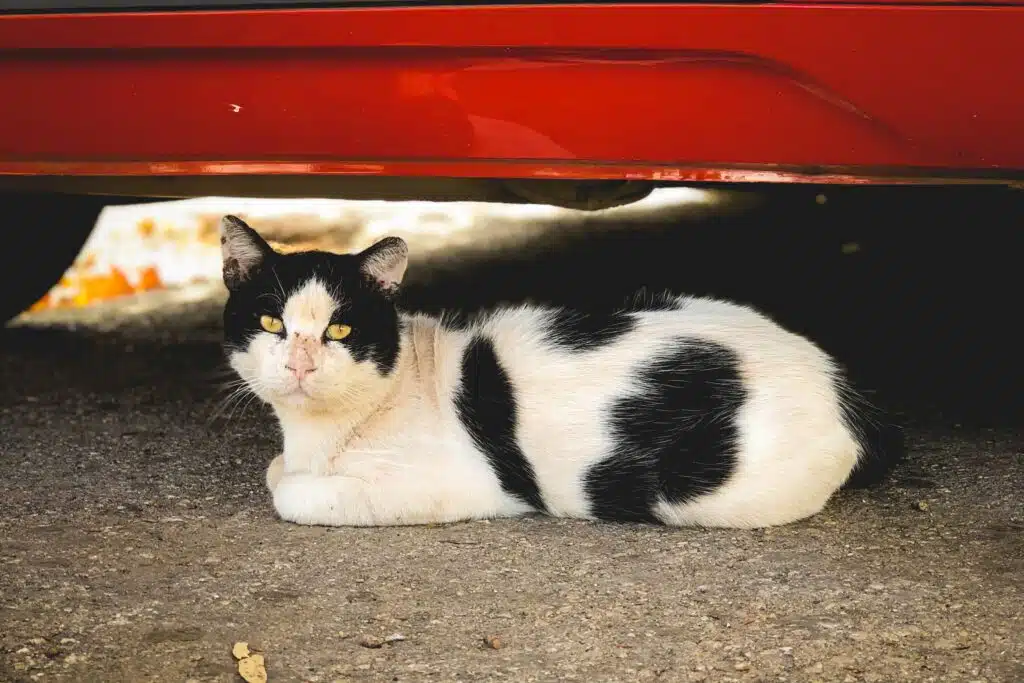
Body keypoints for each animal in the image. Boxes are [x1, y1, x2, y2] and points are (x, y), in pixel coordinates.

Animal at [220, 214, 901, 528]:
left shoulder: (461, 485)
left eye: (339, 330)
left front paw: (294, 482)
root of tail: (841, 384)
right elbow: (277, 468)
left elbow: (292, 491)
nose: (301, 363)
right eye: (272, 323)